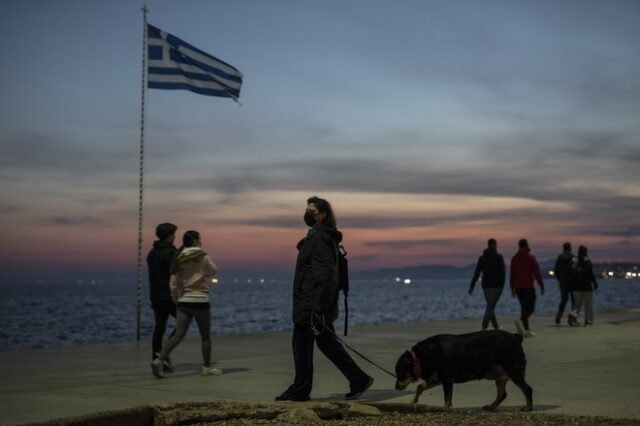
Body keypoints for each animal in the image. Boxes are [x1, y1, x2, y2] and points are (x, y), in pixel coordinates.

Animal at [396, 332, 536, 412]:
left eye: (402, 374)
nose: (396, 387)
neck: (418, 358)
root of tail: (517, 337)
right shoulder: (436, 379)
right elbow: (420, 387)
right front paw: (413, 402)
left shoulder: (447, 379)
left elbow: (447, 397)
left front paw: (445, 408)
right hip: (500, 375)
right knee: (502, 394)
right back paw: (491, 407)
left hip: (514, 371)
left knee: (527, 389)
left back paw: (528, 407)